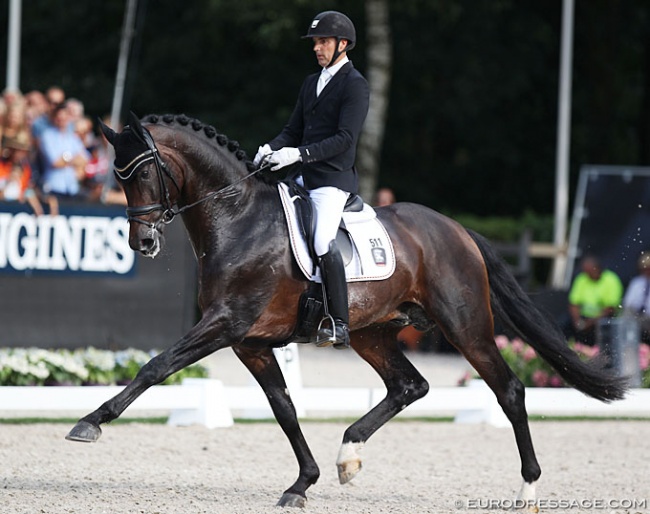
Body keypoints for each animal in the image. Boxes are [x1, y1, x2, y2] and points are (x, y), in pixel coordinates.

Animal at [64, 110, 624, 506]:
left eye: (144, 173)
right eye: (119, 175)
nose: (142, 243)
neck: (238, 219)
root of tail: (457, 229)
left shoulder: (224, 324)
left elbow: (156, 366)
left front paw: (90, 422)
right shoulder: (250, 343)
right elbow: (284, 408)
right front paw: (302, 483)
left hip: (466, 327)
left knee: (508, 389)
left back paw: (527, 490)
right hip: (371, 332)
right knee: (409, 386)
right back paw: (348, 455)